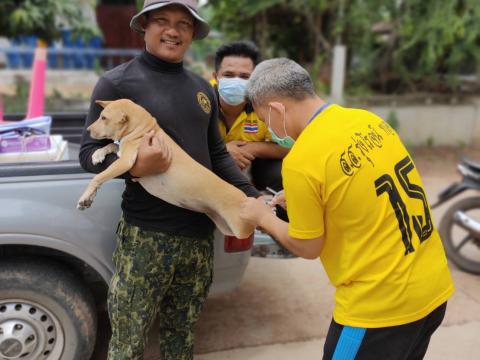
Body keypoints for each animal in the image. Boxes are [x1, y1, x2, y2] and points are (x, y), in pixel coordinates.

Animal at [77, 99, 255, 239]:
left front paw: (85, 196)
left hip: (240, 229)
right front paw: (98, 154)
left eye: (104, 118)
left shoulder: (126, 161)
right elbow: (112, 145)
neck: (142, 129)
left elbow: (98, 177)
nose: (88, 130)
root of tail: (243, 199)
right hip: (224, 226)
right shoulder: (123, 154)